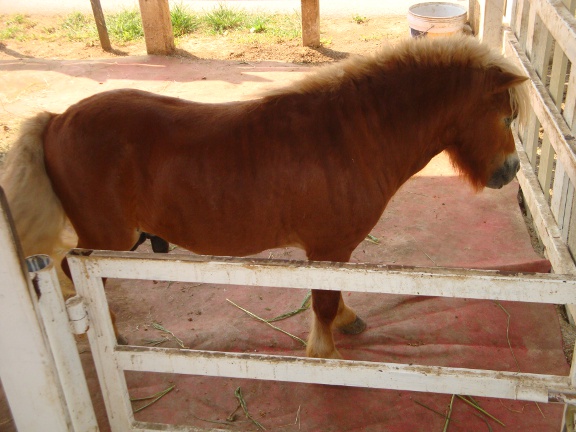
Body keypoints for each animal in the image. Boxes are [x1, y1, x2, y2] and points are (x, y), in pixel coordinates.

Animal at [2, 35, 528, 360]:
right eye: (506, 117)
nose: (511, 171)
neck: (351, 136)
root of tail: (56, 119)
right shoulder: (327, 248)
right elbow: (322, 304)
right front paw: (325, 352)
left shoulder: (334, 252)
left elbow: (334, 297)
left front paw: (347, 321)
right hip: (105, 239)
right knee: (73, 272)